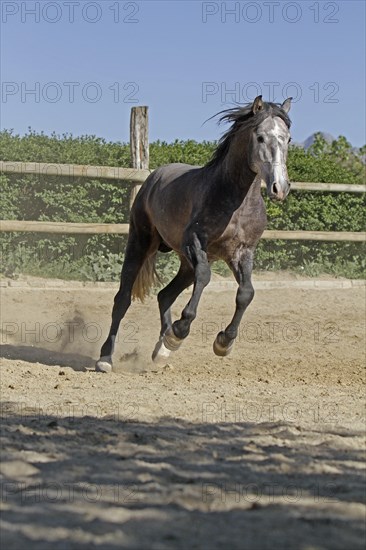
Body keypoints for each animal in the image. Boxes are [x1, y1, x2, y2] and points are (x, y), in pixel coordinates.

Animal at [96, 96, 292, 376]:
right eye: (261, 137)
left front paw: (223, 342)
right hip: (140, 244)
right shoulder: (195, 243)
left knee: (164, 295)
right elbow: (206, 278)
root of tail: (152, 178)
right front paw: (180, 331)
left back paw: (162, 349)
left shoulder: (243, 252)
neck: (235, 198)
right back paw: (106, 358)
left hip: (185, 263)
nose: (279, 188)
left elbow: (246, 292)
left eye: (288, 139)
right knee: (122, 299)